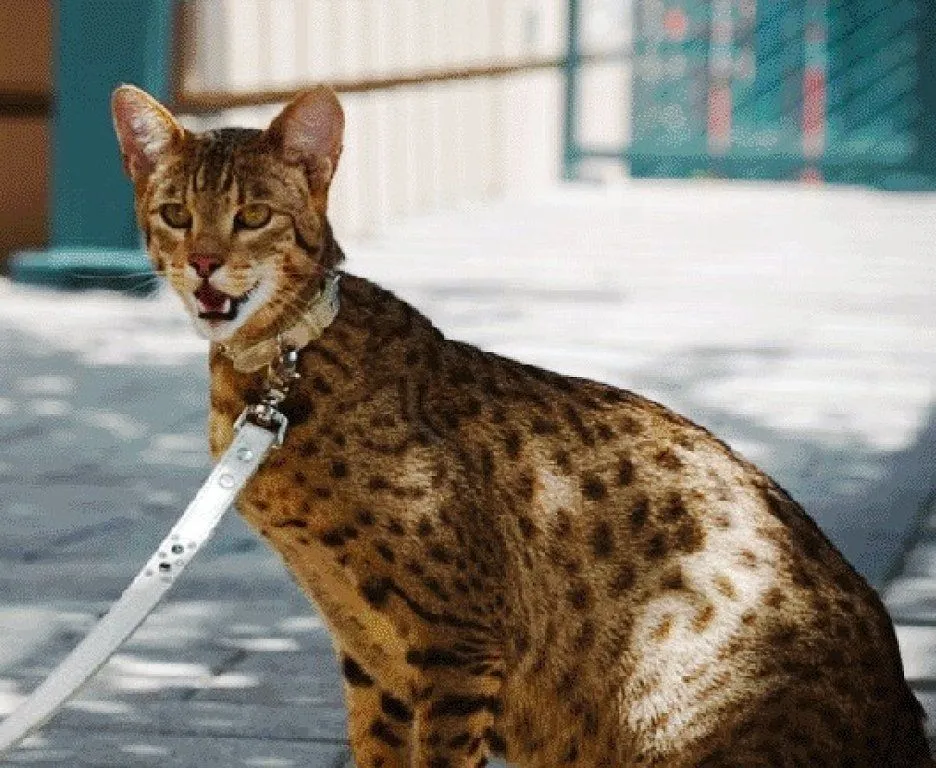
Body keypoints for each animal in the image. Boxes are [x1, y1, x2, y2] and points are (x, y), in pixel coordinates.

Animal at [109, 84, 928, 768]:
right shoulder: (374, 662)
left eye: (253, 216)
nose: (203, 264)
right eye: (176, 214)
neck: (278, 373)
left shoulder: (457, 641)